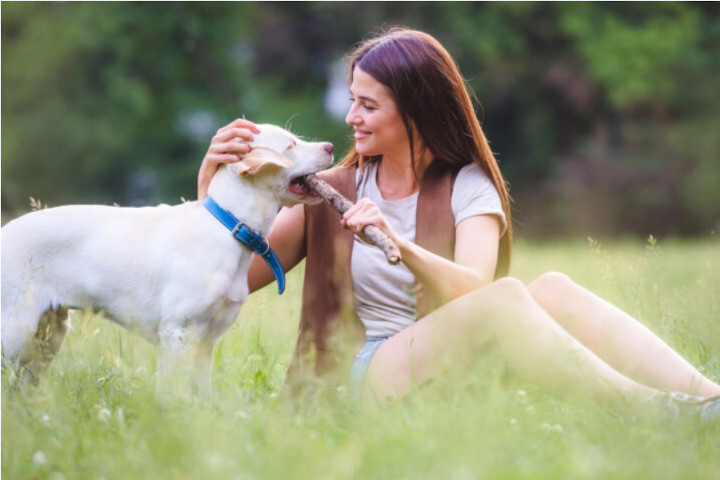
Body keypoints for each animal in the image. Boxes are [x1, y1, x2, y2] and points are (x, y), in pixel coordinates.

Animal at [0, 124, 332, 394]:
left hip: (46, 340)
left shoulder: (206, 342)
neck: (228, 228)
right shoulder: (177, 334)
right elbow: (175, 394)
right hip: (14, 331)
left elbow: (201, 395)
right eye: (290, 145)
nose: (329, 146)